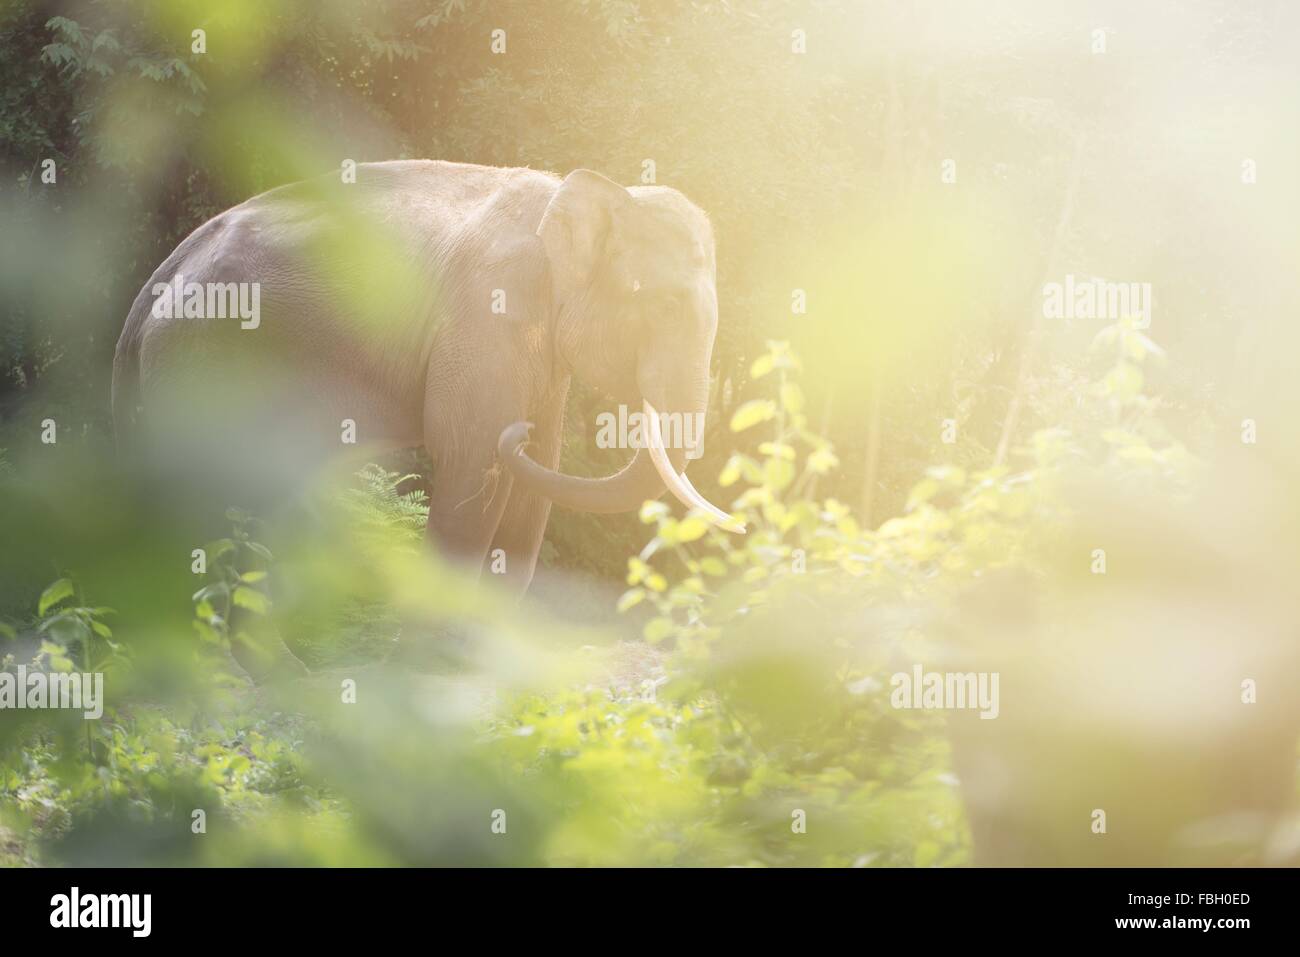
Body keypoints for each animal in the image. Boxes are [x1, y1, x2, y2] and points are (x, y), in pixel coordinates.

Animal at [112, 160, 742, 679]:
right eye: (666, 306)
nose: (518, 431)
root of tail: (152, 289)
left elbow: (534, 481)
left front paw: (477, 665)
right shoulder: (490, 315)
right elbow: (471, 456)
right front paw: (423, 666)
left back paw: (277, 674)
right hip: (203, 360)